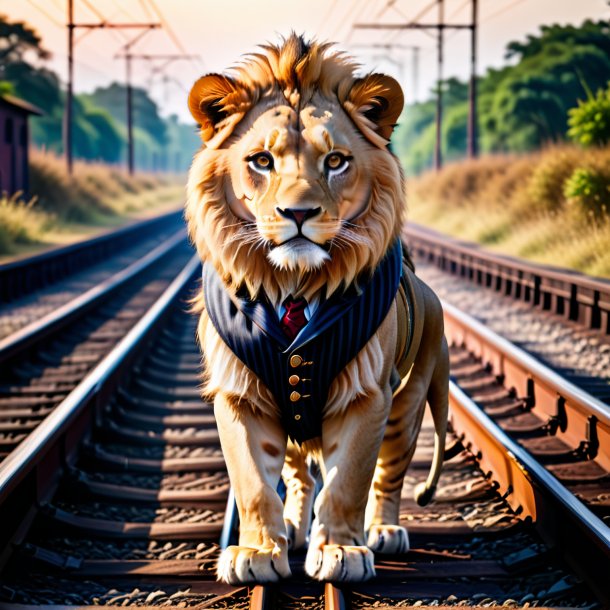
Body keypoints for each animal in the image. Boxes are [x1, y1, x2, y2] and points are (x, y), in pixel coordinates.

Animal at [184, 34, 446, 584]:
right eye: (261, 161)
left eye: (336, 161)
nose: (299, 213)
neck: (294, 284)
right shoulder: (240, 393)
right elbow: (253, 482)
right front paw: (257, 552)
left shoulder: (368, 394)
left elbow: (349, 482)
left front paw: (342, 552)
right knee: (298, 473)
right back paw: (293, 527)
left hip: (409, 402)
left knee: (388, 475)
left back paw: (383, 532)